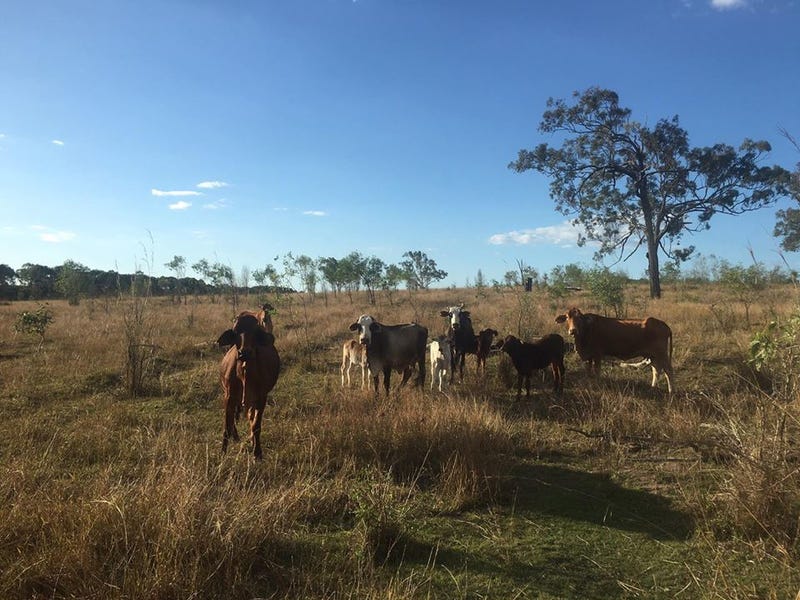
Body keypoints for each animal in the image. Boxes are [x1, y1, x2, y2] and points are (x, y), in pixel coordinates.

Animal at [216, 310, 282, 460]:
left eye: (256, 331)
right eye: (235, 331)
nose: (245, 352)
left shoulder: (261, 398)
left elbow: (256, 425)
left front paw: (257, 453)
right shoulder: (229, 396)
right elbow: (227, 427)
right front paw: (222, 453)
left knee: (251, 418)